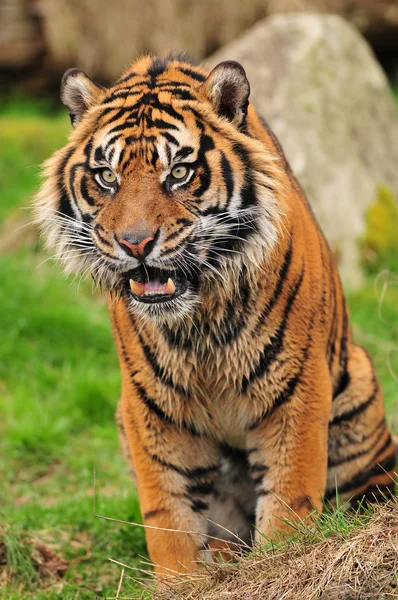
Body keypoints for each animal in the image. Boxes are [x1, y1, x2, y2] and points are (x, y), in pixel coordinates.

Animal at [34, 54, 394, 576]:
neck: (197, 318)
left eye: (180, 172)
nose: (135, 243)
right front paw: (184, 580)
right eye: (106, 177)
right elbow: (169, 518)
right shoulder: (150, 405)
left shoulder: (297, 388)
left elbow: (289, 498)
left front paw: (280, 561)